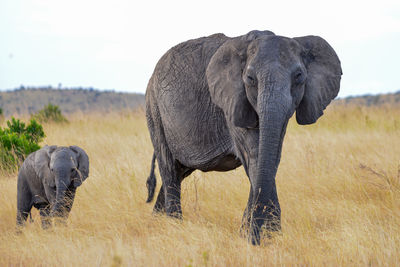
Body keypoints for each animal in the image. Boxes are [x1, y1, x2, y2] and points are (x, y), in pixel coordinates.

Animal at [145, 30, 342, 246]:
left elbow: (270, 158)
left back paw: (157, 222)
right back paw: (174, 227)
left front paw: (257, 236)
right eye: (250, 78)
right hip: (155, 110)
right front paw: (262, 238)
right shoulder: (231, 102)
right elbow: (255, 156)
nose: (253, 239)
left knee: (178, 172)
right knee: (169, 169)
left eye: (299, 76)